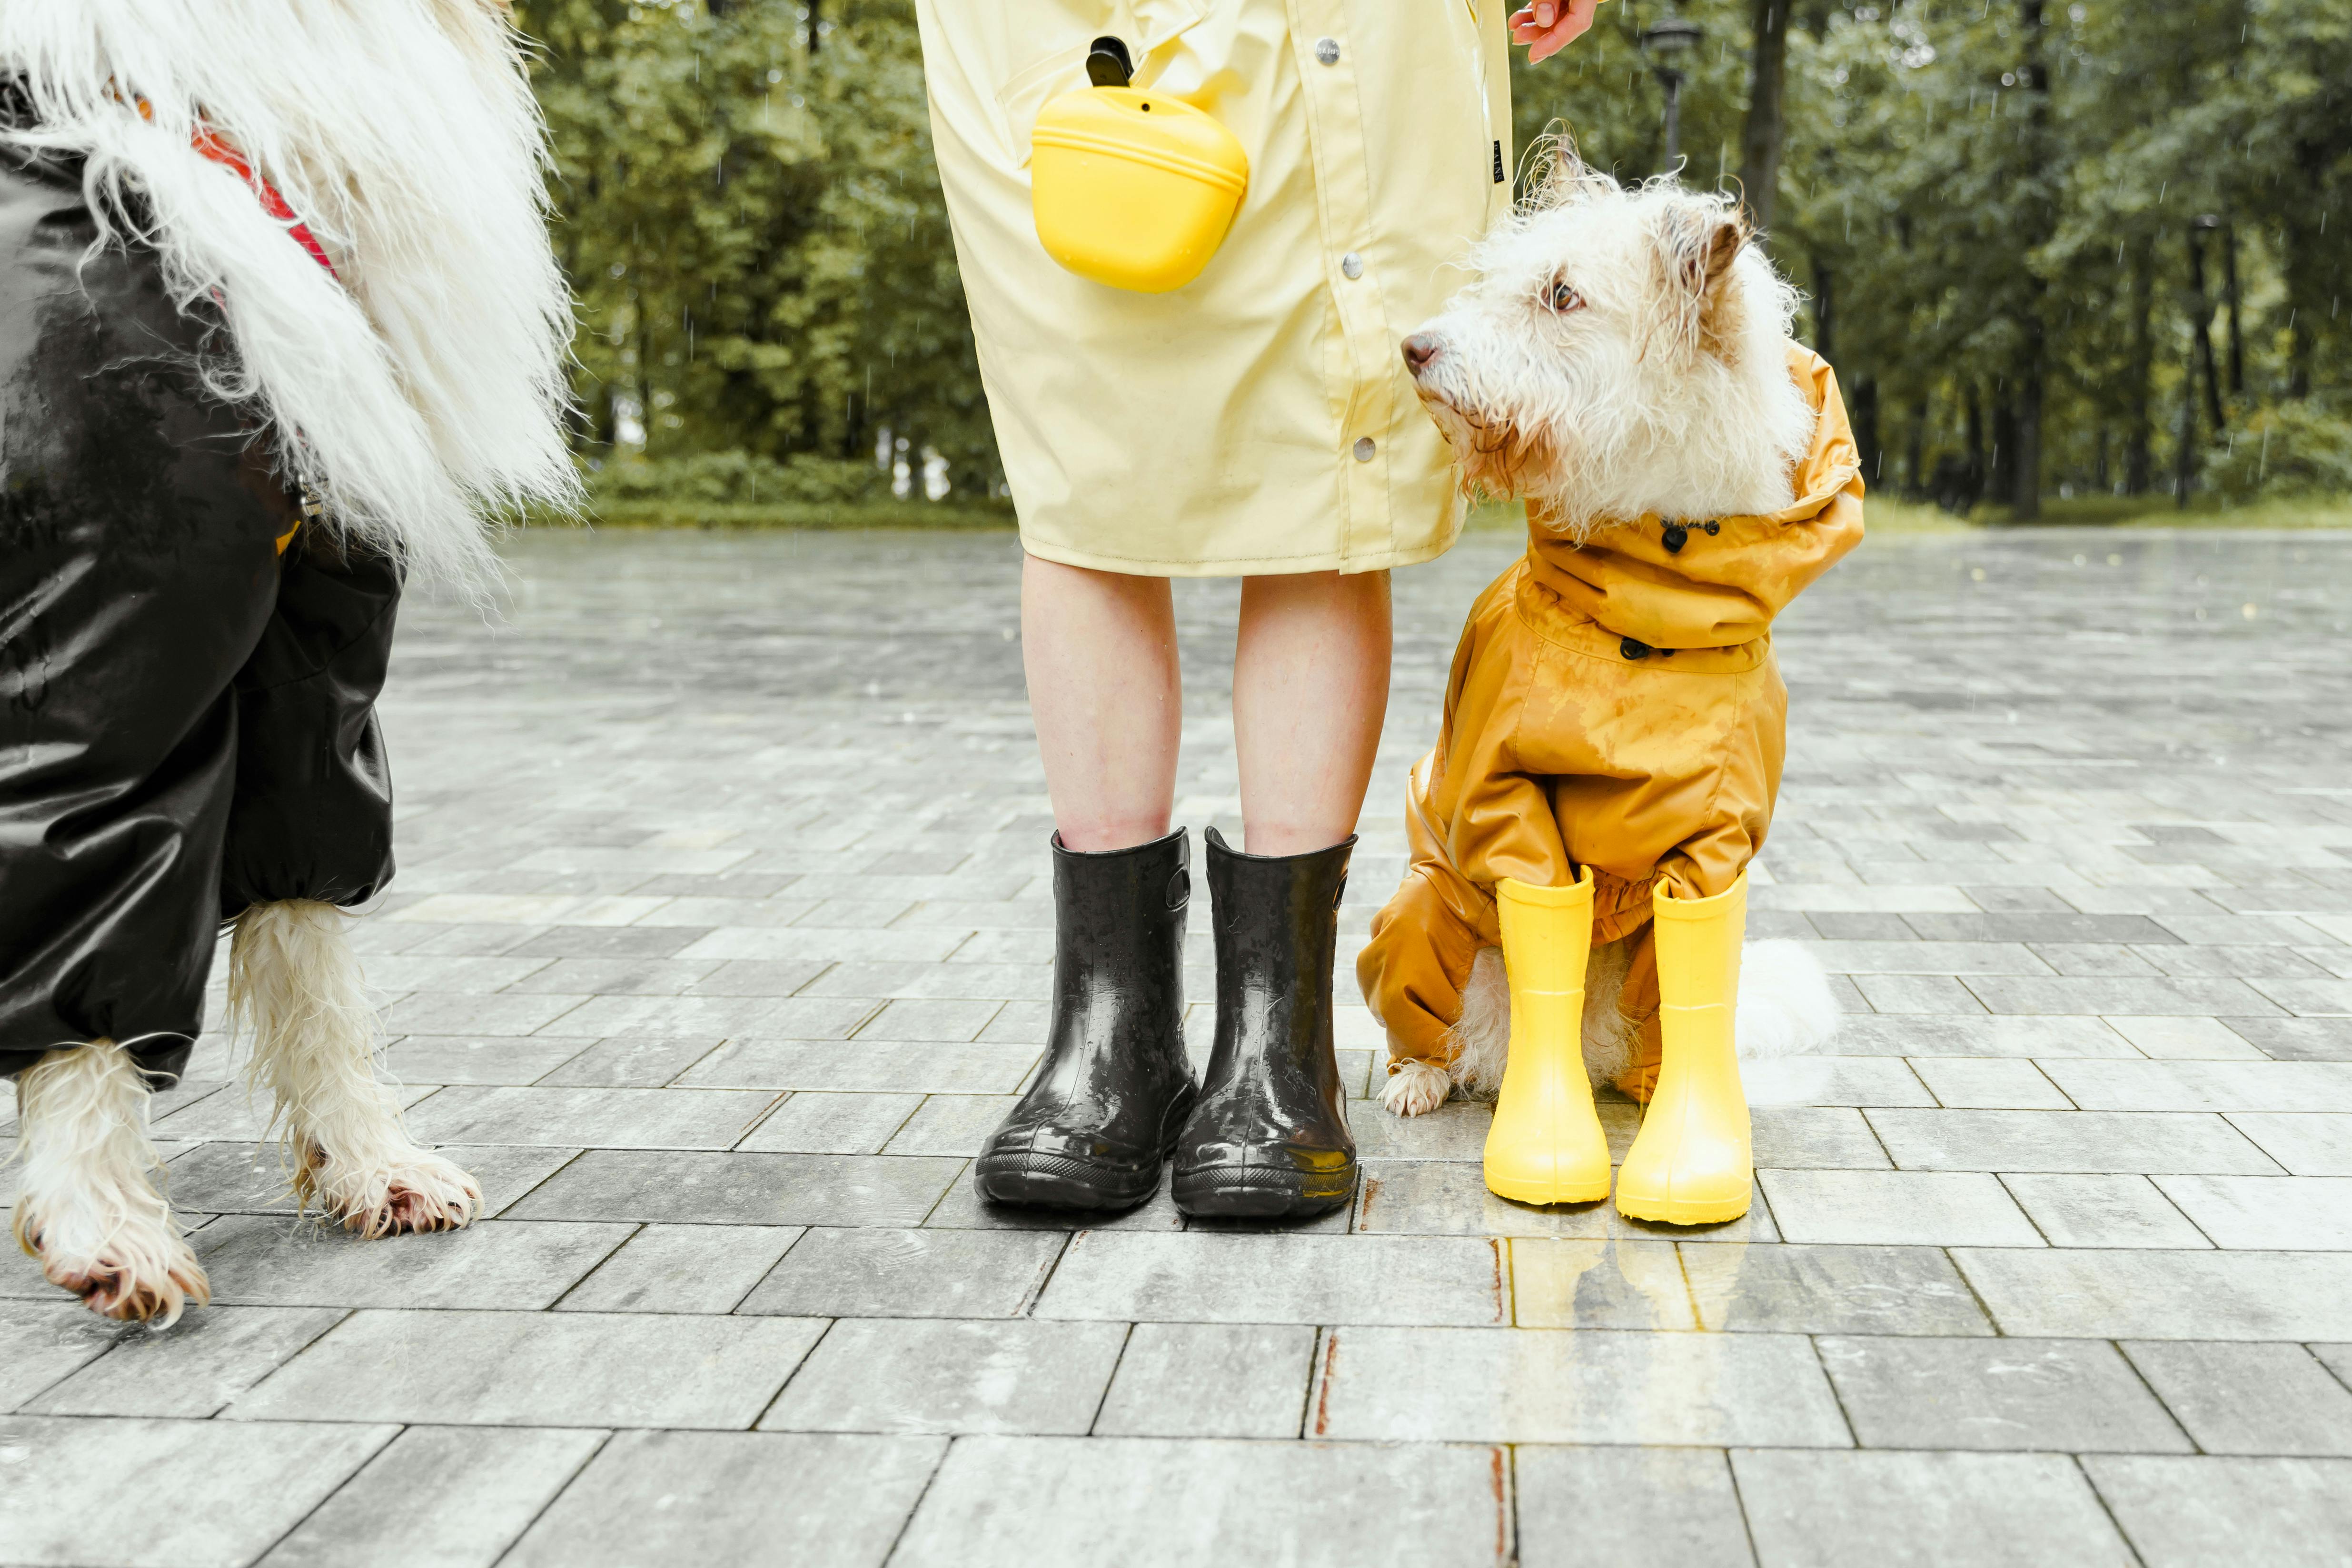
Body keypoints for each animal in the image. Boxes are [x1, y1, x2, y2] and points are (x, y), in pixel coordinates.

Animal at [1373, 138, 1844, 1114]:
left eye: (1562, 295)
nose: (1413, 347)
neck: (1652, 598)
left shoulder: (1715, 846)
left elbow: (1685, 969)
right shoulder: (1504, 800)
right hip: (1422, 901)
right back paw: (1425, 1074)